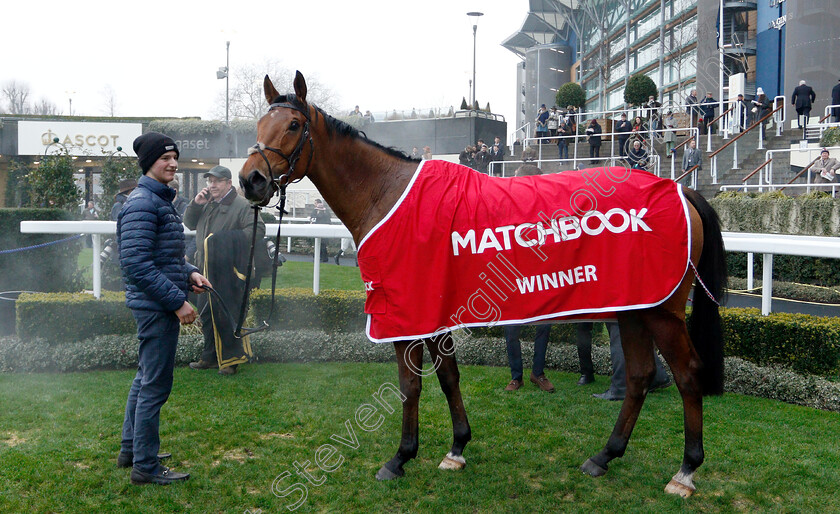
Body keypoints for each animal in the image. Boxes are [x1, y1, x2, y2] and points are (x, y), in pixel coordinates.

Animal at [240, 72, 724, 496]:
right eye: (260, 125)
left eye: (294, 125)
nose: (251, 180)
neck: (388, 195)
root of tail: (681, 190)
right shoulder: (434, 312)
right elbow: (448, 377)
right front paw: (456, 447)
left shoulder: (406, 312)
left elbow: (410, 385)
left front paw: (400, 456)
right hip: (634, 307)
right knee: (641, 375)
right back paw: (605, 456)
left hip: (662, 311)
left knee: (686, 374)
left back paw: (685, 471)